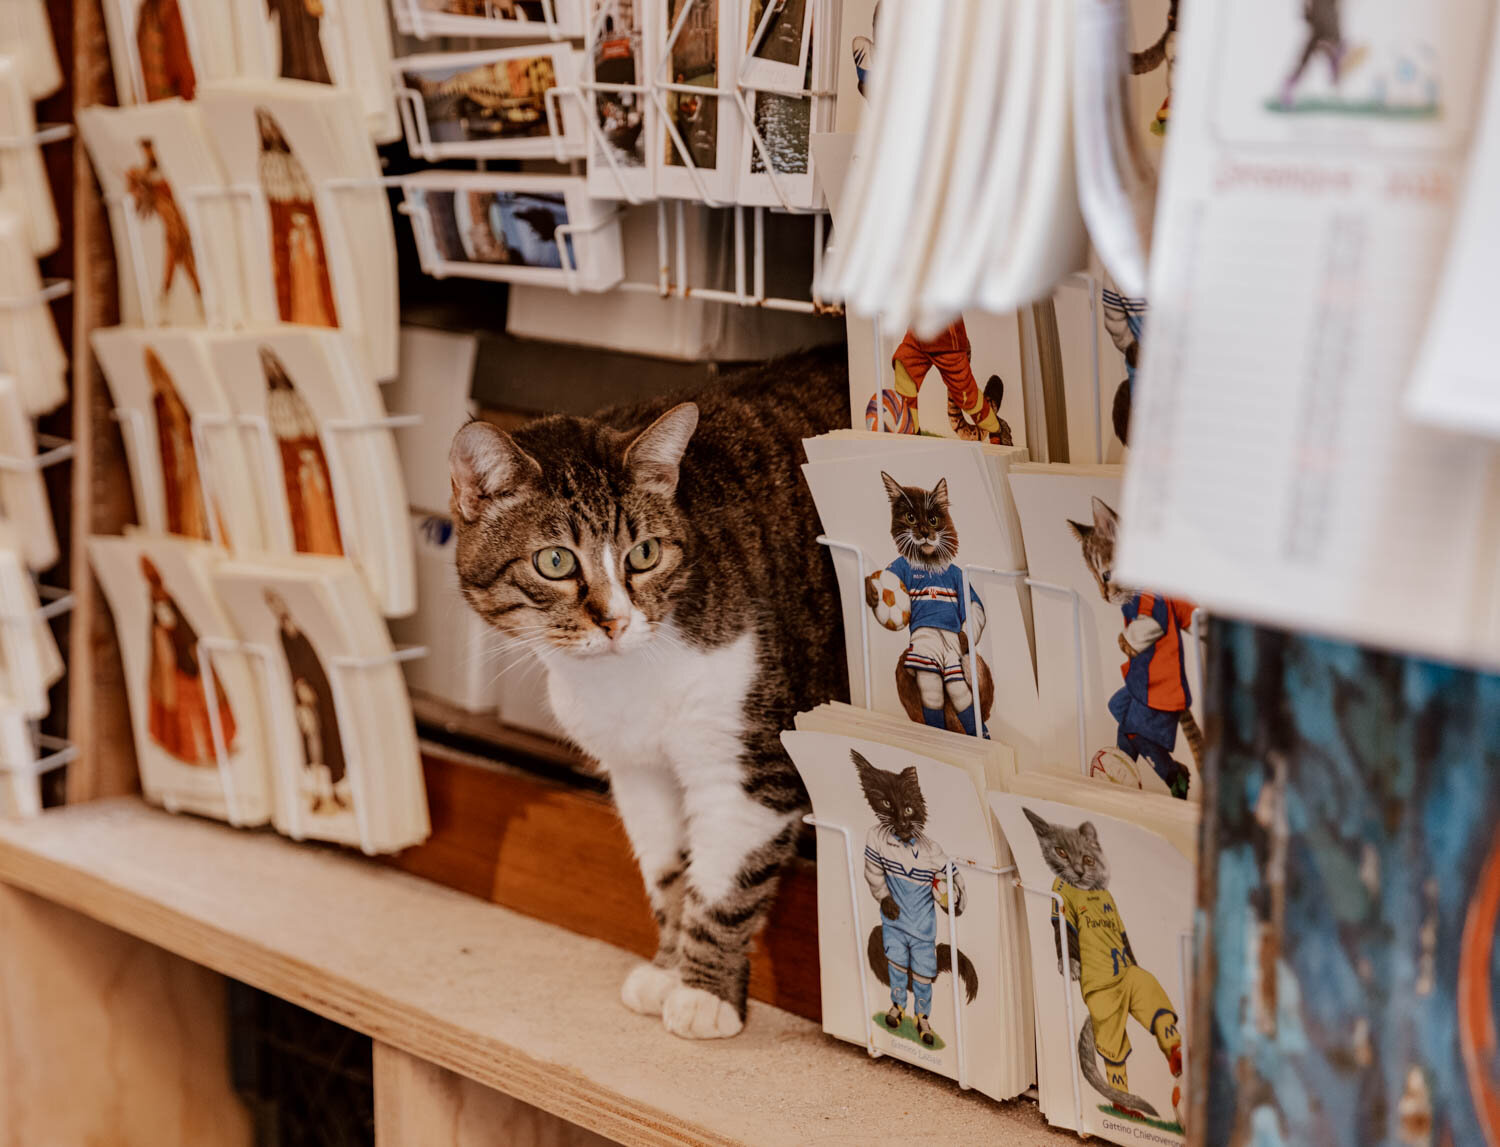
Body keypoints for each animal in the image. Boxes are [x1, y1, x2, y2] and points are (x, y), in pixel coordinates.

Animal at [444, 349, 852, 1037]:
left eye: (645, 553)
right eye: (555, 561)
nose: (615, 620)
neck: (629, 677)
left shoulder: (747, 763)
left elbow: (722, 885)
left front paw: (703, 993)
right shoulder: (637, 771)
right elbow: (670, 874)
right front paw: (667, 968)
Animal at [864, 470, 990, 734]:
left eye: (932, 520)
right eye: (911, 518)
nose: (923, 532)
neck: (929, 564)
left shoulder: (960, 579)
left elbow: (975, 608)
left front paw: (964, 639)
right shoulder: (898, 568)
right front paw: (872, 590)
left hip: (951, 668)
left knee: (960, 696)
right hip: (925, 660)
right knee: (932, 697)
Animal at [864, 752, 978, 1049]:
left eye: (908, 809)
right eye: (886, 804)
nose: (902, 824)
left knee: (921, 981)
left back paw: (923, 1027)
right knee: (900, 974)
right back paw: (896, 1014)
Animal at [1020, 809, 1182, 1121]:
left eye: (1087, 859)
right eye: (1060, 852)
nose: (1080, 872)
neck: (1087, 891)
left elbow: (1125, 943)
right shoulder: (1061, 910)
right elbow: (1064, 937)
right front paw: (1069, 964)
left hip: (1141, 987)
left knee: (1158, 1014)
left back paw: (1175, 1058)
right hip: (1106, 1014)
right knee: (1115, 1058)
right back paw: (1125, 1107)